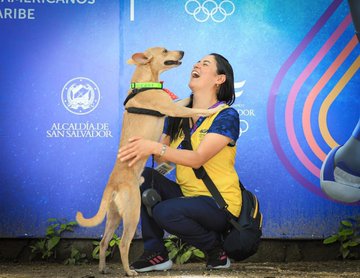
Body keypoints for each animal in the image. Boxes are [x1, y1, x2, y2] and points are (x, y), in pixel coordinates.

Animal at [76, 46, 222, 274]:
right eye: (164, 50)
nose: (182, 51)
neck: (144, 84)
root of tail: (113, 184)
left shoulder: (173, 105)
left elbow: (185, 100)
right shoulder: (173, 109)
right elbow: (194, 108)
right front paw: (214, 108)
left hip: (114, 215)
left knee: (104, 241)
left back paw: (103, 269)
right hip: (132, 213)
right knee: (123, 244)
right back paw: (129, 271)